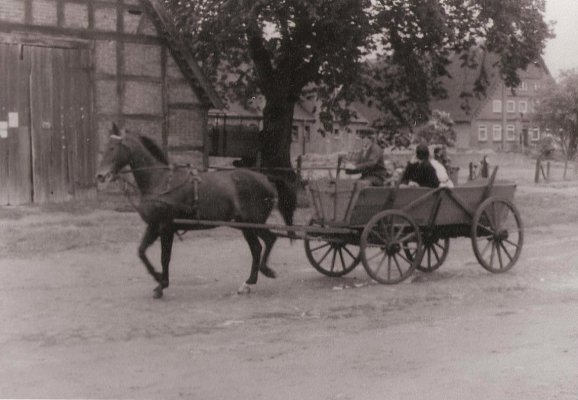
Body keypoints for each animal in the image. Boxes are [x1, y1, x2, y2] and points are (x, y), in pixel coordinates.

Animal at [95, 124, 294, 296]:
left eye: (113, 148)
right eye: (106, 147)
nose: (100, 175)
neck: (161, 181)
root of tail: (266, 178)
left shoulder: (166, 227)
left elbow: (164, 257)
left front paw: (162, 284)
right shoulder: (153, 225)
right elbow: (142, 252)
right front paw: (157, 277)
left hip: (252, 223)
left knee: (267, 241)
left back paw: (261, 273)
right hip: (246, 226)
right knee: (260, 246)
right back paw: (250, 281)